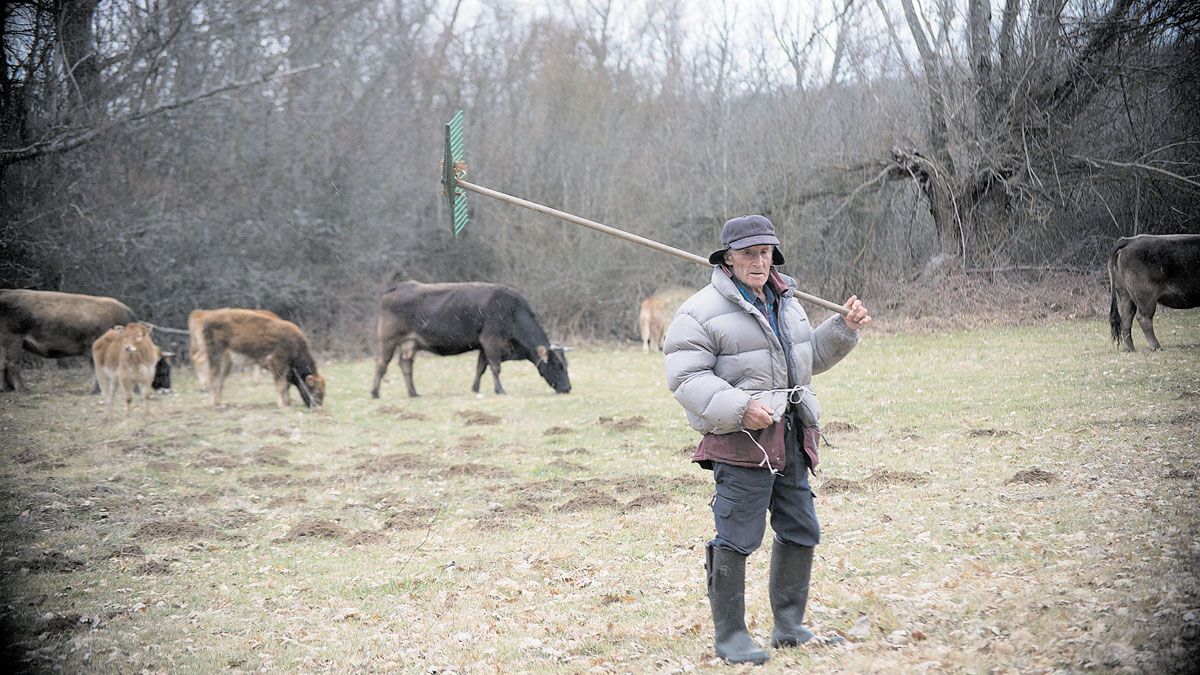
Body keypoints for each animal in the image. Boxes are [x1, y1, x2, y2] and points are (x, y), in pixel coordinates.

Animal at [0, 289, 171, 392]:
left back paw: (7, 388)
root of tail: (6, 291)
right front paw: (97, 389)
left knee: (2, 364)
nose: (167, 388)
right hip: (13, 339)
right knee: (12, 363)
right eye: (161, 368)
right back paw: (22, 389)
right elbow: (97, 369)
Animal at [370, 281, 571, 399]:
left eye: (566, 365)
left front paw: (475, 388)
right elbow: (495, 367)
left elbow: (481, 367)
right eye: (558, 365)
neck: (513, 311)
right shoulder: (490, 340)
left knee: (406, 365)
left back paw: (413, 393)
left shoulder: (484, 346)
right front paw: (500, 390)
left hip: (409, 343)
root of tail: (399, 286)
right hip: (387, 339)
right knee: (381, 363)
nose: (568, 388)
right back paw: (375, 393)